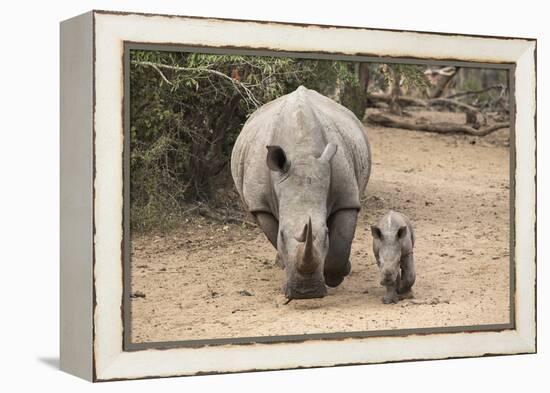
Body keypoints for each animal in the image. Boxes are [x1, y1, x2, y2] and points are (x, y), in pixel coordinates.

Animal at [231, 86, 374, 298]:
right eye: (282, 234)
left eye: (326, 233)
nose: (306, 292)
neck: (302, 154)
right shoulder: (260, 205)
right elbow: (274, 235)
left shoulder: (347, 198)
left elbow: (341, 243)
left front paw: (334, 276)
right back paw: (280, 264)